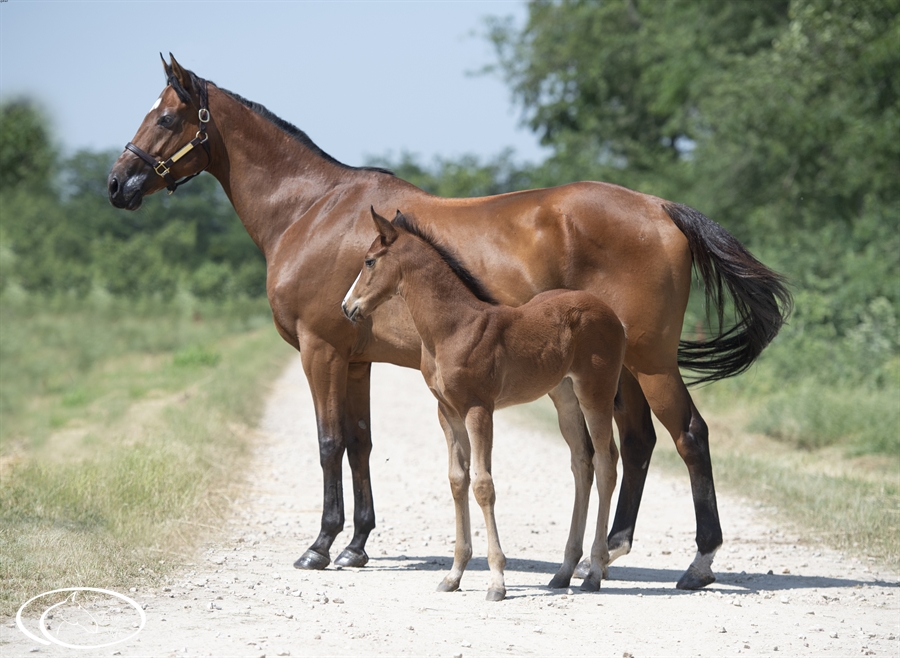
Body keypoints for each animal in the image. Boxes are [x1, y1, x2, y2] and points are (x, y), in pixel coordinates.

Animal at [342, 208, 628, 596]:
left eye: (369, 260)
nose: (347, 307)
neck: (452, 329)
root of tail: (612, 314)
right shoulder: (447, 412)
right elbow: (457, 480)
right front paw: (453, 575)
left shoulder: (479, 409)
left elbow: (482, 484)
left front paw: (496, 580)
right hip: (565, 397)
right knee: (582, 463)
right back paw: (564, 570)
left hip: (595, 393)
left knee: (606, 462)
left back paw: (595, 572)